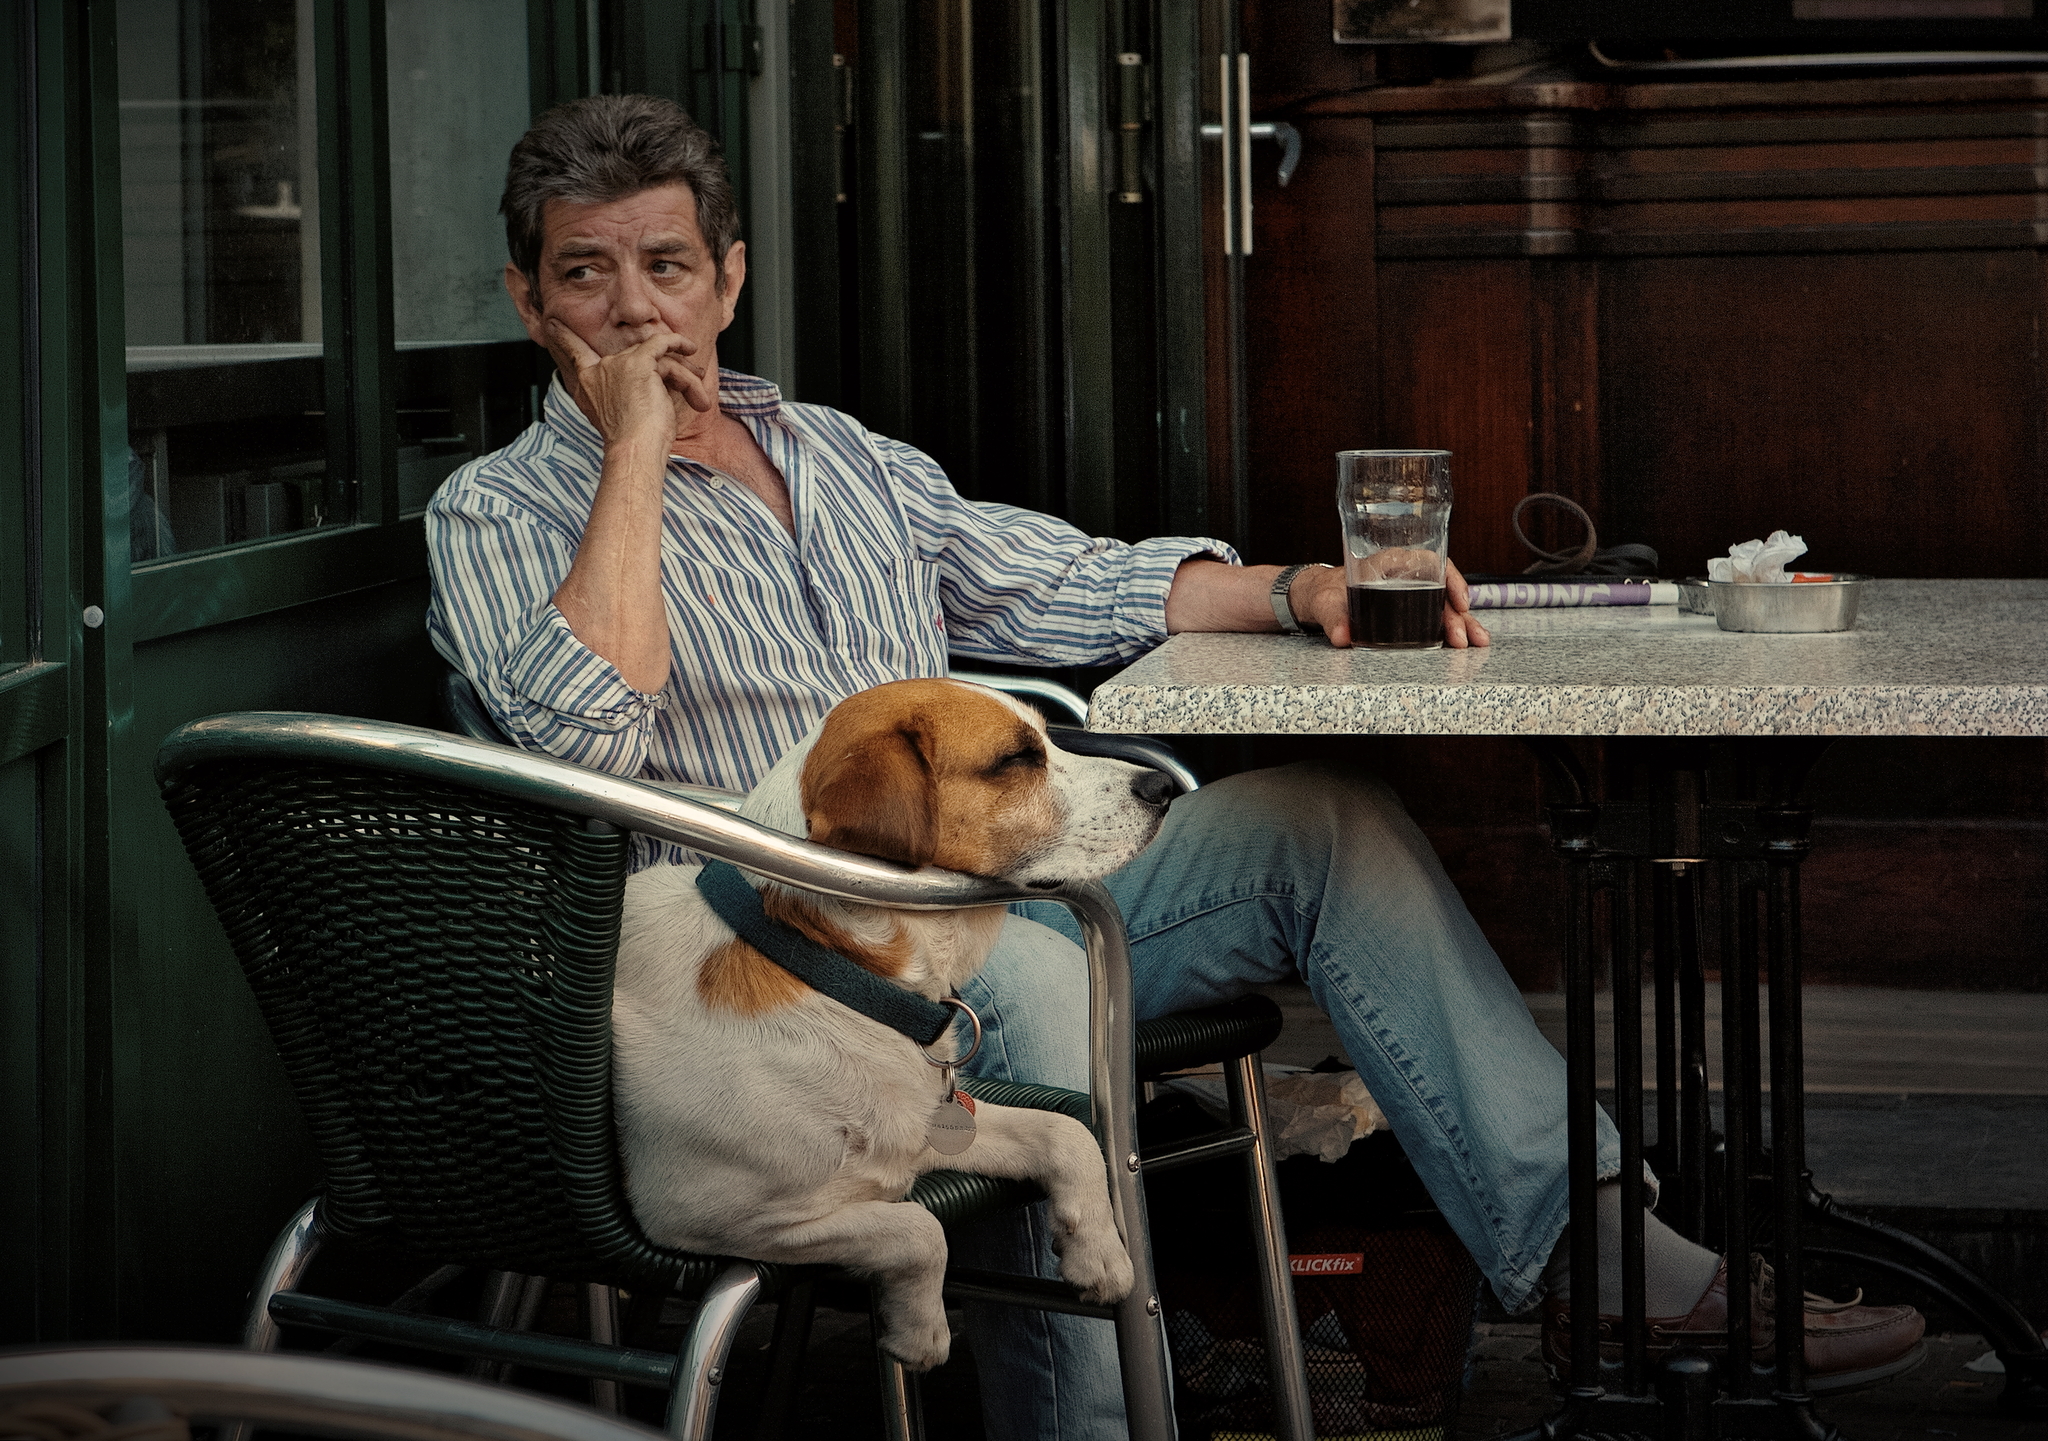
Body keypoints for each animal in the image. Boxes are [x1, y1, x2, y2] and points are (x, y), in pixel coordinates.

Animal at [610, 679, 1171, 1367]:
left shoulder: (925, 1128)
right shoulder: (709, 1215)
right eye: (1015, 759)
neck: (827, 969)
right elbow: (918, 1228)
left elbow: (1068, 1135)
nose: (1162, 787)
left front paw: (1098, 1251)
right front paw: (919, 1331)